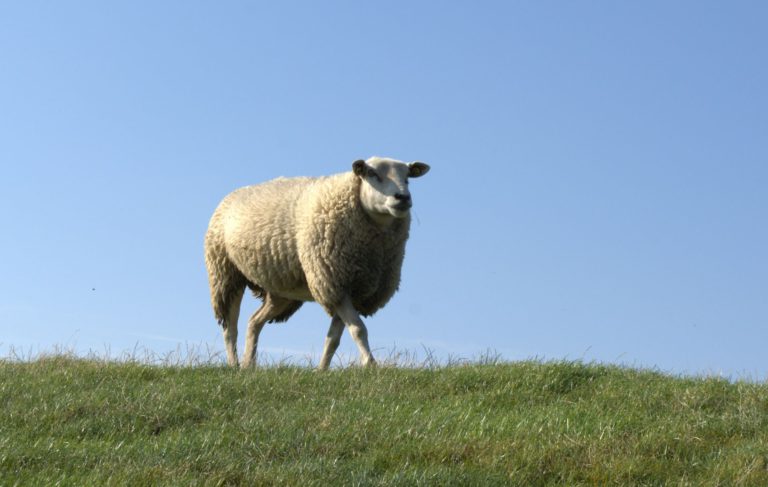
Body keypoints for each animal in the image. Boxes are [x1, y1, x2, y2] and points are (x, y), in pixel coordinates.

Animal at [204, 156, 430, 369]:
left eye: (408, 177)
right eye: (372, 174)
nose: (403, 197)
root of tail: (232, 194)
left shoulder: (350, 289)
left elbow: (334, 338)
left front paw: (322, 370)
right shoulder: (333, 282)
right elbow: (358, 329)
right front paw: (370, 364)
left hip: (281, 291)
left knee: (254, 321)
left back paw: (249, 365)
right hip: (226, 274)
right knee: (230, 327)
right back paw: (234, 365)